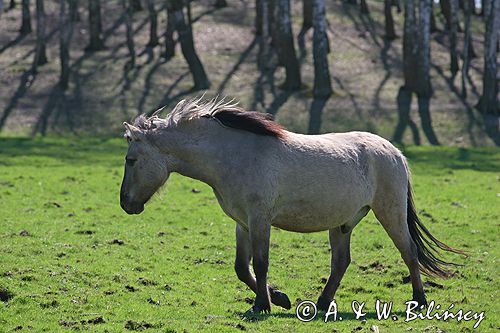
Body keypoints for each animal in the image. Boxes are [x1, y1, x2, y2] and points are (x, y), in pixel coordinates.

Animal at [119, 96, 462, 314]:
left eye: (131, 160)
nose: (125, 204)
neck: (233, 155)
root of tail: (393, 151)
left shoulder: (259, 219)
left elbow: (260, 263)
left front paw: (262, 305)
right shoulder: (242, 222)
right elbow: (241, 267)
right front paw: (279, 298)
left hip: (389, 213)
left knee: (409, 252)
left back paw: (419, 301)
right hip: (343, 223)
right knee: (341, 262)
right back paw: (322, 304)